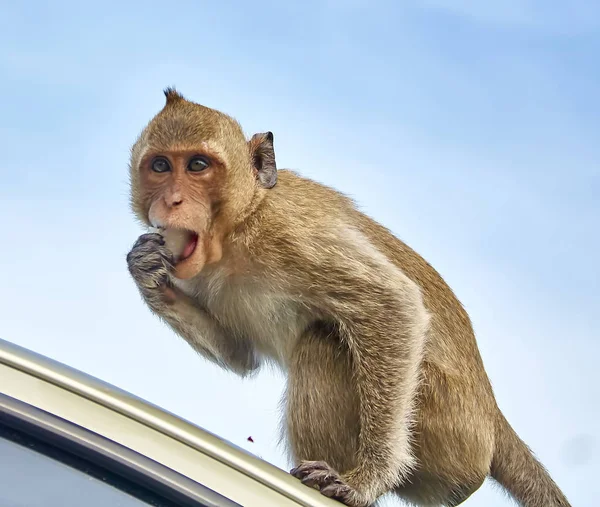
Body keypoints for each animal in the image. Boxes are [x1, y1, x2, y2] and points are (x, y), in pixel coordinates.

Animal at [125, 88, 572, 507]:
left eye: (197, 165)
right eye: (161, 166)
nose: (172, 200)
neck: (239, 225)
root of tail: (492, 419)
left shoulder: (290, 234)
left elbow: (391, 304)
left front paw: (366, 479)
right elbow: (240, 354)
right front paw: (145, 269)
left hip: (449, 437)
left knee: (323, 341)